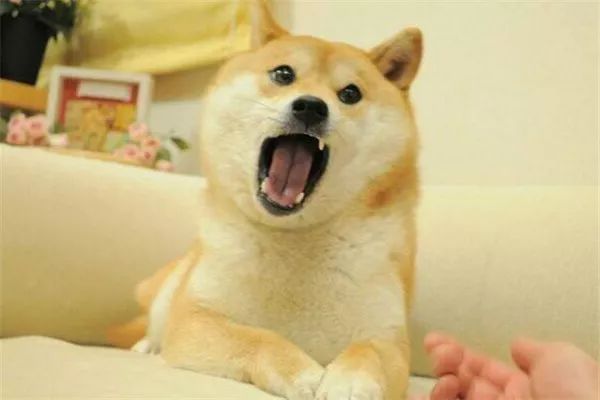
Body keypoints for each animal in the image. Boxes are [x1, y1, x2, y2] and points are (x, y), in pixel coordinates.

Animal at [108, 2, 422, 399]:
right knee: (151, 322)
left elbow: (368, 353)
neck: (294, 238)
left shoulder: (389, 339)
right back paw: (145, 345)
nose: (311, 107)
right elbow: (258, 338)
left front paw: (350, 381)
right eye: (283, 74)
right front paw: (302, 372)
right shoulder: (196, 319)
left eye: (350, 94)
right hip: (173, 283)